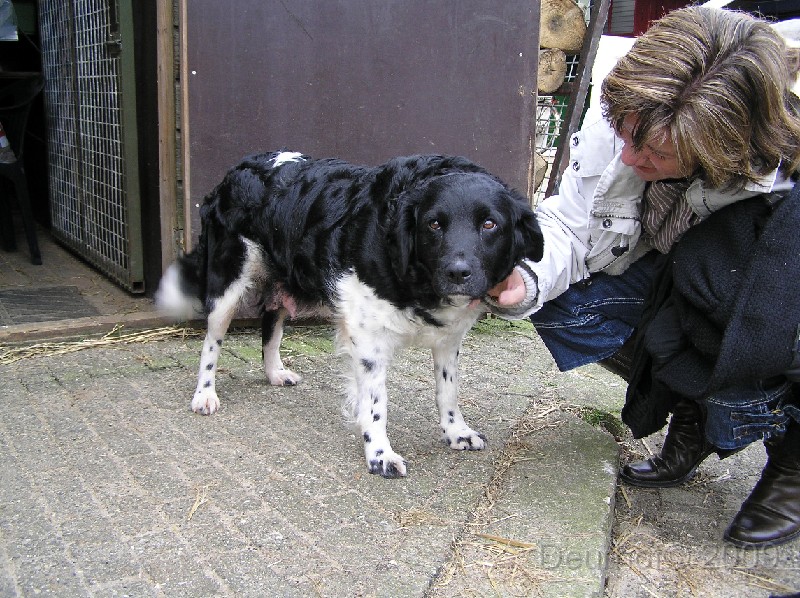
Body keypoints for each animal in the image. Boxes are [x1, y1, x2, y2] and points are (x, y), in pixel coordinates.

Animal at [156, 152, 544, 480]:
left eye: (490, 224)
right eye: (434, 225)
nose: (457, 272)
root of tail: (238, 168)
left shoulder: (449, 339)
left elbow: (448, 389)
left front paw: (455, 431)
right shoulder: (368, 338)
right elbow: (375, 403)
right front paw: (379, 454)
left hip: (284, 277)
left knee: (271, 323)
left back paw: (275, 373)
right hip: (228, 283)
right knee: (211, 341)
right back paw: (204, 394)